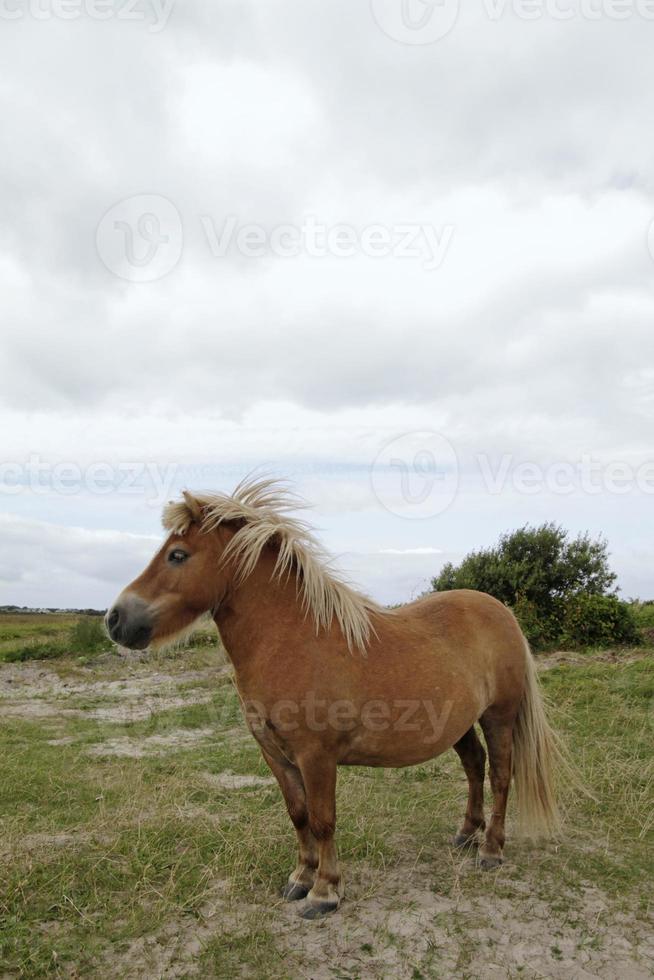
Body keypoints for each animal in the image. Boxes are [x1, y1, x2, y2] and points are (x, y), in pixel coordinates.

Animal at [106, 476, 564, 920]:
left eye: (177, 555)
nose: (115, 620)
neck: (292, 641)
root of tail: (501, 612)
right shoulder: (276, 755)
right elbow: (299, 815)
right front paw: (300, 878)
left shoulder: (316, 756)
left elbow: (323, 820)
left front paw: (325, 892)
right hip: (459, 723)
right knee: (474, 766)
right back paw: (467, 833)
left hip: (499, 716)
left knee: (500, 775)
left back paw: (491, 849)